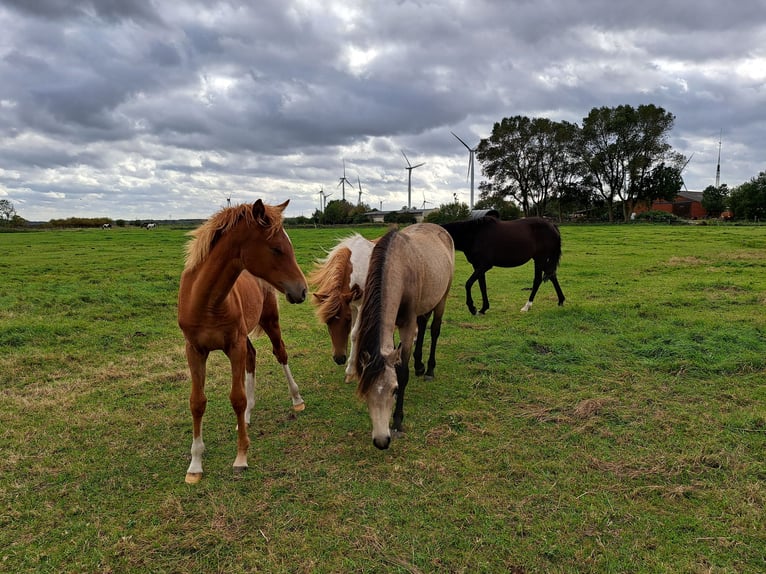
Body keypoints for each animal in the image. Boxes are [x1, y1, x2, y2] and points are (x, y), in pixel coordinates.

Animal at [179, 200, 308, 484]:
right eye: (276, 248)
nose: (302, 290)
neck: (206, 301)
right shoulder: (195, 350)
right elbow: (197, 402)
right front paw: (195, 465)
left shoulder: (233, 346)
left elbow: (236, 398)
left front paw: (240, 458)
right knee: (253, 356)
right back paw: (246, 417)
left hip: (269, 321)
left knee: (280, 353)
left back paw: (296, 399)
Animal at [308, 234, 376, 378]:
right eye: (327, 322)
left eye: (347, 320)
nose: (339, 359)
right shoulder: (353, 305)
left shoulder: (361, 306)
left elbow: (355, 333)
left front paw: (351, 370)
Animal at [440, 216, 568, 316]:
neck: (475, 235)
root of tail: (553, 226)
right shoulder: (477, 266)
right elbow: (482, 286)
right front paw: (483, 309)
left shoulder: (485, 265)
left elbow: (468, 284)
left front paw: (472, 308)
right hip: (543, 260)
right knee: (552, 276)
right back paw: (561, 301)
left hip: (539, 259)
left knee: (537, 280)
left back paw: (527, 306)